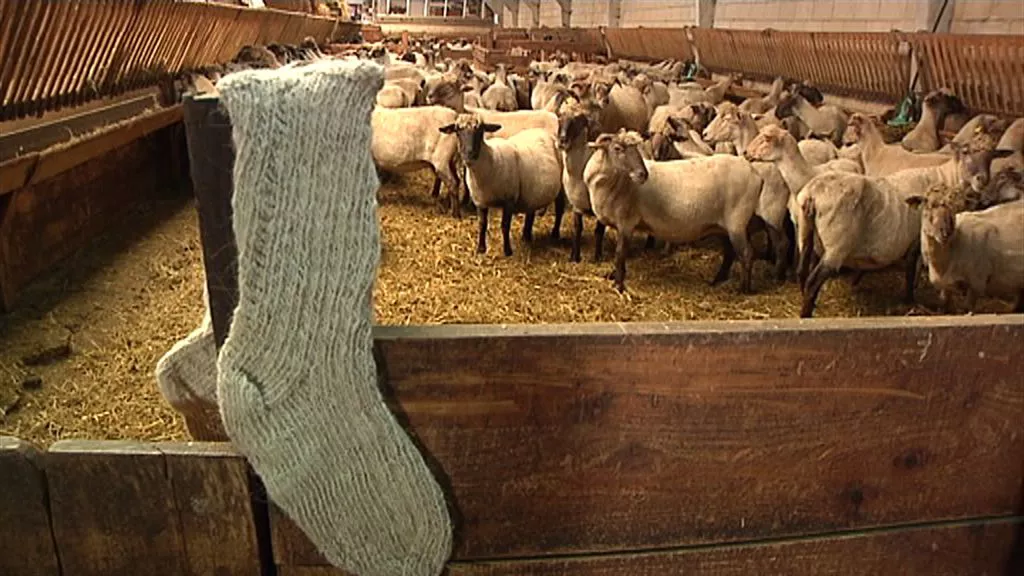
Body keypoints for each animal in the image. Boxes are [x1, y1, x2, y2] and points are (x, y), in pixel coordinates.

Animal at [439, 114, 566, 256]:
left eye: (480, 131)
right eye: (457, 131)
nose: (468, 154)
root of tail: (545, 133)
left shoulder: (509, 199)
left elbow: (505, 225)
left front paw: (507, 251)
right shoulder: (480, 201)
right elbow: (482, 224)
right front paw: (481, 249)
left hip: (561, 186)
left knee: (560, 209)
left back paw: (554, 234)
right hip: (532, 190)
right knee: (531, 210)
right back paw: (526, 236)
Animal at [583, 130, 766, 293]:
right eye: (617, 148)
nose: (643, 174)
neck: (615, 184)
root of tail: (756, 175)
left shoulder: (626, 222)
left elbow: (620, 254)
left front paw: (619, 285)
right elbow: (619, 254)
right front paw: (615, 277)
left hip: (737, 222)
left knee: (746, 254)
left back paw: (743, 290)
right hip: (723, 226)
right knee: (730, 253)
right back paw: (717, 281)